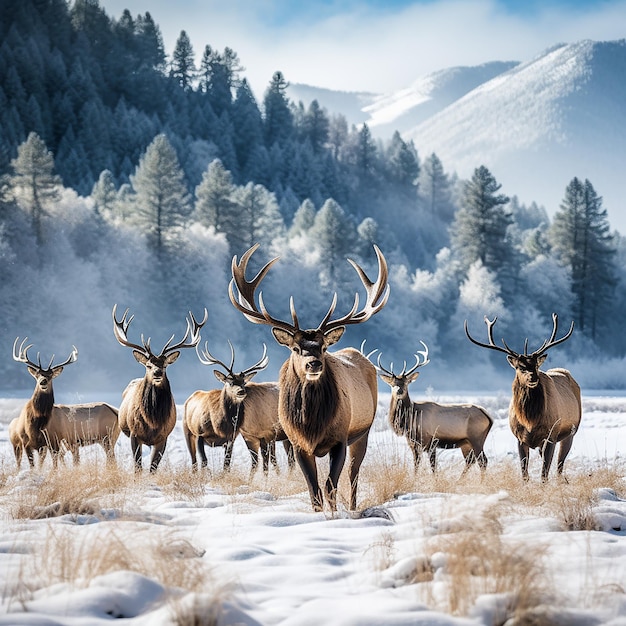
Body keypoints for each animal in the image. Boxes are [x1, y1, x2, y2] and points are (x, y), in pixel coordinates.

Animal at [11, 336, 119, 464]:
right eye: (37, 375)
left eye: (50, 375)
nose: (43, 381)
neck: (35, 420)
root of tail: (116, 411)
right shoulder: (30, 443)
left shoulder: (54, 439)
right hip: (109, 437)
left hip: (107, 436)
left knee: (112, 458)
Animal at [112, 304, 207, 470]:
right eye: (148, 365)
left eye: (165, 365)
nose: (157, 372)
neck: (153, 421)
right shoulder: (134, 433)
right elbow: (138, 466)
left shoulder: (163, 437)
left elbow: (153, 468)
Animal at [227, 241, 388, 510]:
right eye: (295, 348)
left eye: (323, 347)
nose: (314, 364)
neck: (311, 424)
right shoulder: (297, 442)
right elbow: (314, 490)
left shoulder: (340, 438)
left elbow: (330, 486)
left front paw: (334, 514)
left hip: (362, 432)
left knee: (354, 475)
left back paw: (353, 507)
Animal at [368, 342, 490, 472]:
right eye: (392, 384)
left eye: (406, 383)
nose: (399, 391)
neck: (410, 421)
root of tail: (487, 415)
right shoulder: (413, 443)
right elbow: (416, 465)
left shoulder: (431, 442)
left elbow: (433, 467)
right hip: (466, 443)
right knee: (470, 460)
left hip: (476, 439)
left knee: (483, 461)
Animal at [464, 314, 580, 480]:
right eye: (520, 367)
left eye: (536, 365)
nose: (533, 378)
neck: (530, 420)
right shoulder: (519, 438)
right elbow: (524, 473)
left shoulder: (550, 436)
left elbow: (544, 474)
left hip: (570, 432)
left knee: (559, 465)